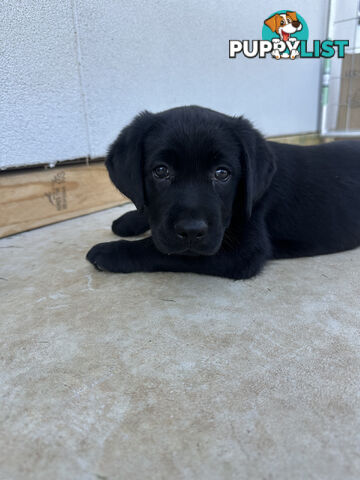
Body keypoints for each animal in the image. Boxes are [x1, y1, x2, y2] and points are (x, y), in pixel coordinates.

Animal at [87, 105, 360, 278]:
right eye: (161, 171)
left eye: (222, 173)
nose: (191, 231)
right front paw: (128, 220)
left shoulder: (242, 251)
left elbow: (162, 250)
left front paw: (110, 251)